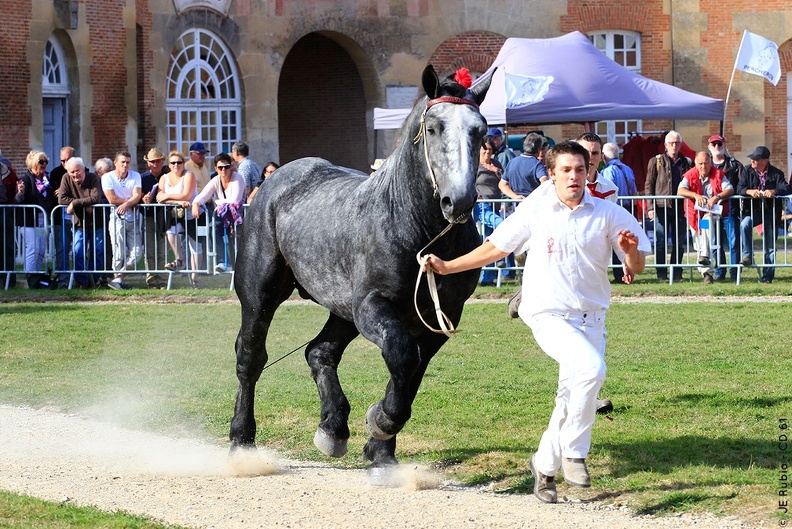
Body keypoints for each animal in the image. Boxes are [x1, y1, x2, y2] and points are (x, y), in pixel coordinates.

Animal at [229, 64, 492, 476]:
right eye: (434, 127)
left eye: (480, 130)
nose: (460, 201)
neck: (414, 226)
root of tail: (276, 179)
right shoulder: (373, 306)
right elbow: (402, 357)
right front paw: (381, 423)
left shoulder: (438, 320)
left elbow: (410, 375)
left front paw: (381, 450)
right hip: (261, 294)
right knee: (251, 357)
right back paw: (242, 440)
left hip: (342, 310)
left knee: (320, 352)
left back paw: (332, 428)